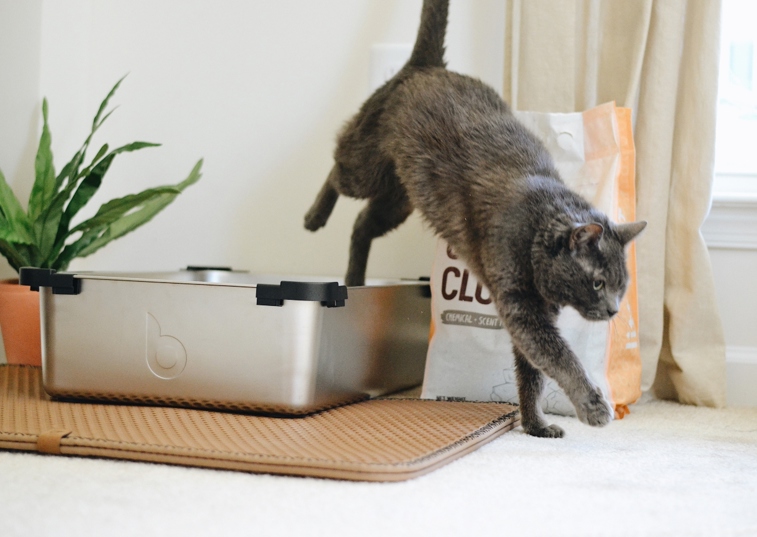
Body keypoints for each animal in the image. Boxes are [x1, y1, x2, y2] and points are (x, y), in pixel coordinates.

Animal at [304, 0, 648, 436]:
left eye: (622, 286)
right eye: (598, 282)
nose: (614, 311)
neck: (537, 230)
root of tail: (427, 66)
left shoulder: (532, 315)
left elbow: (531, 374)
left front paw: (535, 425)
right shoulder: (522, 308)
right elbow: (560, 358)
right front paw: (593, 406)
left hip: (401, 198)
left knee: (362, 223)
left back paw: (354, 277)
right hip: (366, 167)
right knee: (337, 169)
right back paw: (313, 216)